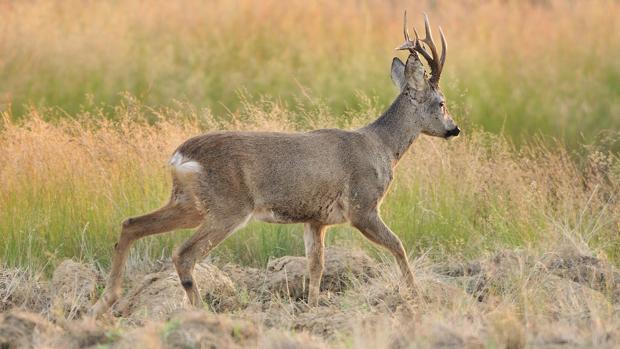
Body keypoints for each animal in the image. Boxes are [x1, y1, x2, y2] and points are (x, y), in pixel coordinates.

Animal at [89, 12, 460, 316]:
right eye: (441, 103)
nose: (454, 129)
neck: (382, 147)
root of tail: (180, 156)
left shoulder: (316, 219)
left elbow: (316, 265)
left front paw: (312, 309)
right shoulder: (362, 206)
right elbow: (398, 245)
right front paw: (416, 296)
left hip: (190, 202)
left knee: (131, 223)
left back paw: (107, 301)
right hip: (228, 207)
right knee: (183, 253)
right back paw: (198, 311)